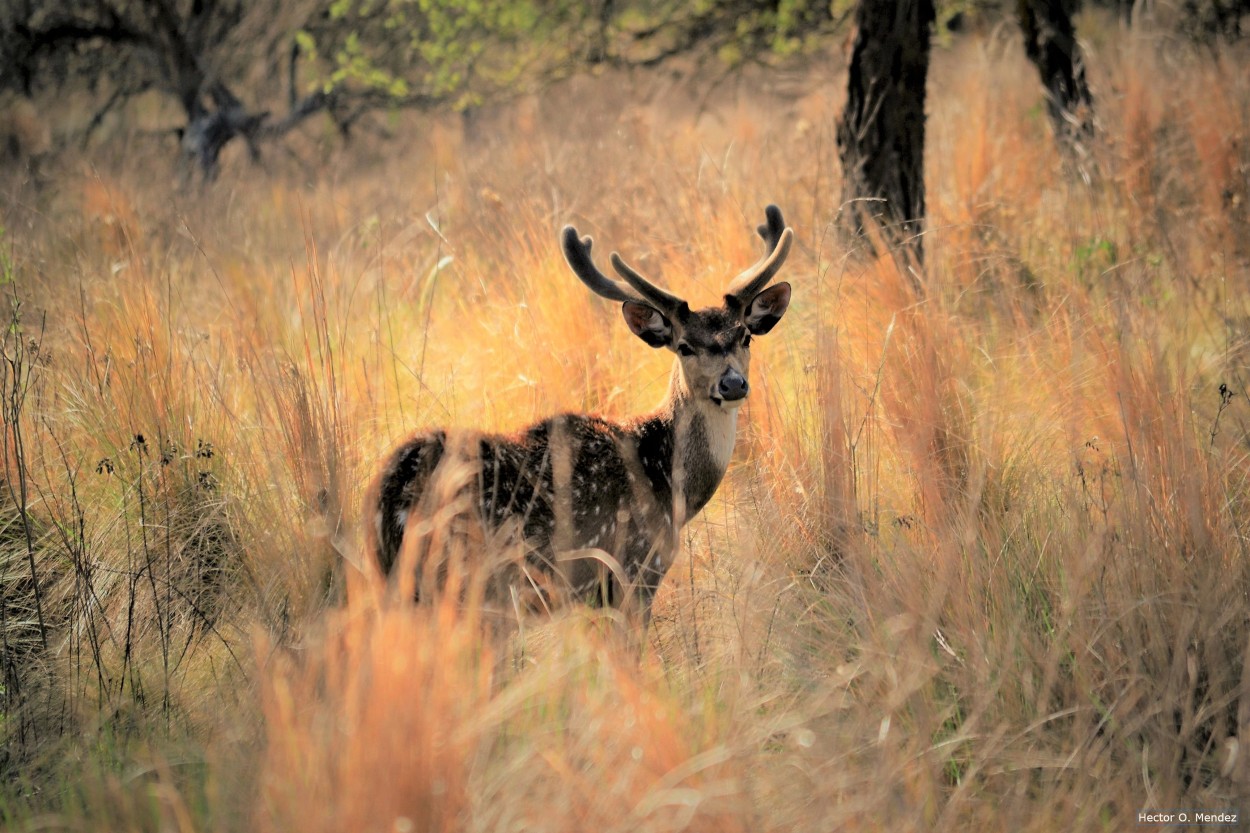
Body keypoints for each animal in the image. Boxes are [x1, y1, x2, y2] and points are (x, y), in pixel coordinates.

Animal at [365, 206, 790, 622]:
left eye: (745, 337)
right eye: (685, 346)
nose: (732, 384)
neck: (672, 486)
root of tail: (390, 496)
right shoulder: (633, 572)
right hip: (469, 586)